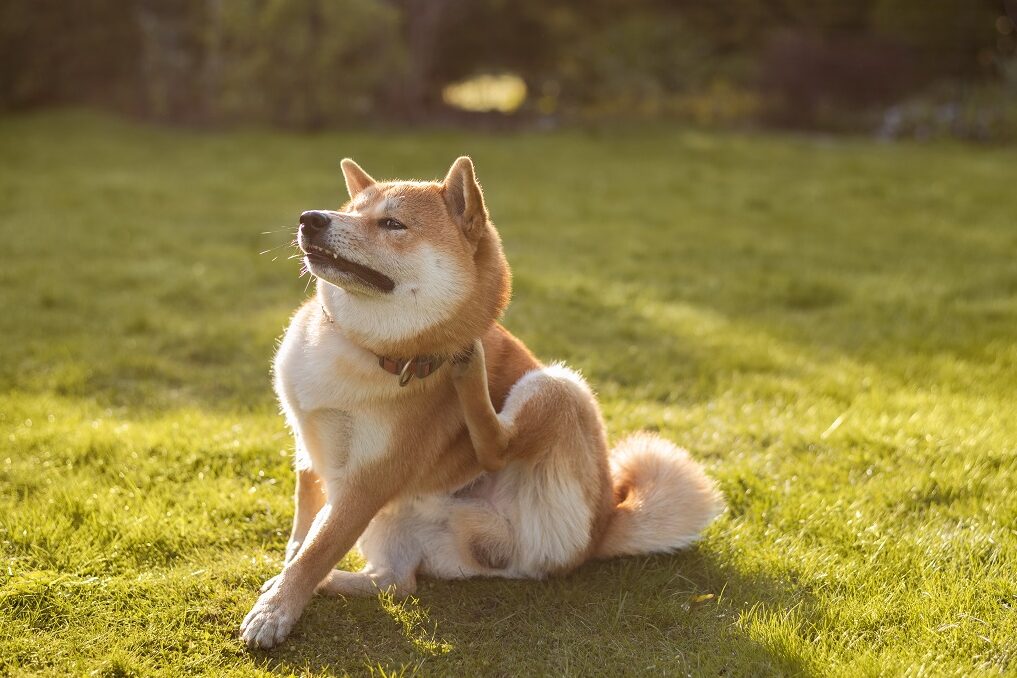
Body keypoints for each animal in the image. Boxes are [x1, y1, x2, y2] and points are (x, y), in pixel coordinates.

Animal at [240, 156, 724, 650]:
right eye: (349, 210)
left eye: (392, 223)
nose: (311, 219)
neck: (359, 347)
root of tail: (603, 526)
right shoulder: (310, 454)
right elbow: (302, 537)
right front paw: (283, 583)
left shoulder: (368, 481)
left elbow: (316, 550)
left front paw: (276, 611)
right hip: (400, 520)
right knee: (396, 582)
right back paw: (336, 582)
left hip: (560, 386)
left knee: (496, 448)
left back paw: (470, 370)